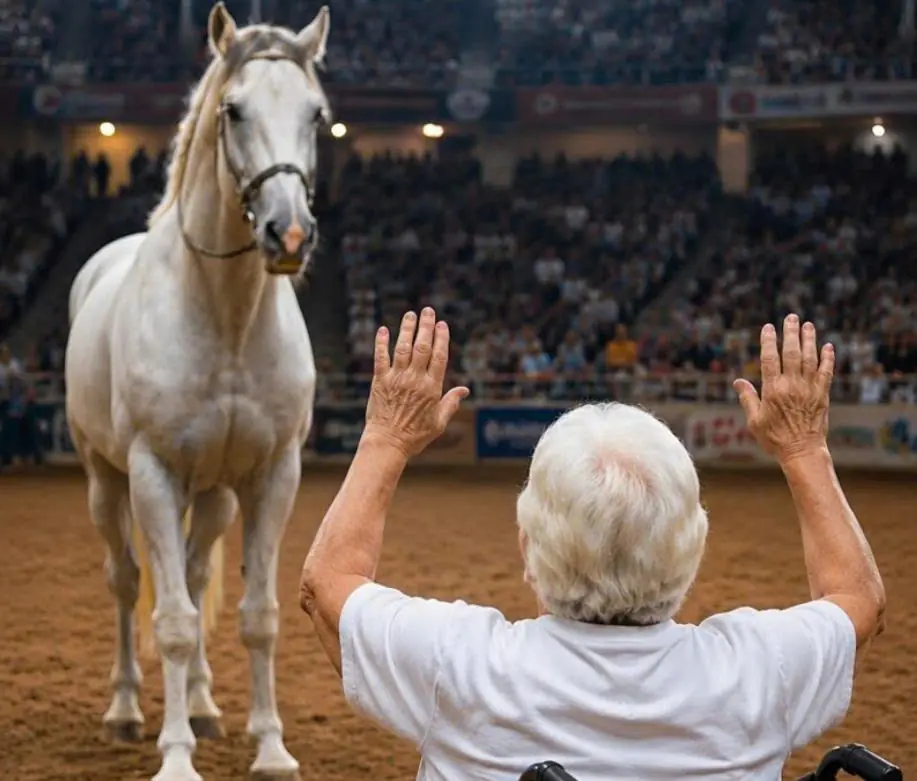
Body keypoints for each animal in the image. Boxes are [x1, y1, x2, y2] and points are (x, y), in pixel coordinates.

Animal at [64, 4, 330, 779]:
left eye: (317, 114)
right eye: (233, 110)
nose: (288, 234)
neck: (226, 318)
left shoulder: (273, 474)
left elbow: (257, 614)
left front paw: (269, 746)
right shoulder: (152, 472)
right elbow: (174, 621)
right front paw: (175, 757)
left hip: (212, 496)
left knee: (193, 565)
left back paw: (206, 705)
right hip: (106, 480)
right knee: (127, 581)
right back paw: (127, 710)